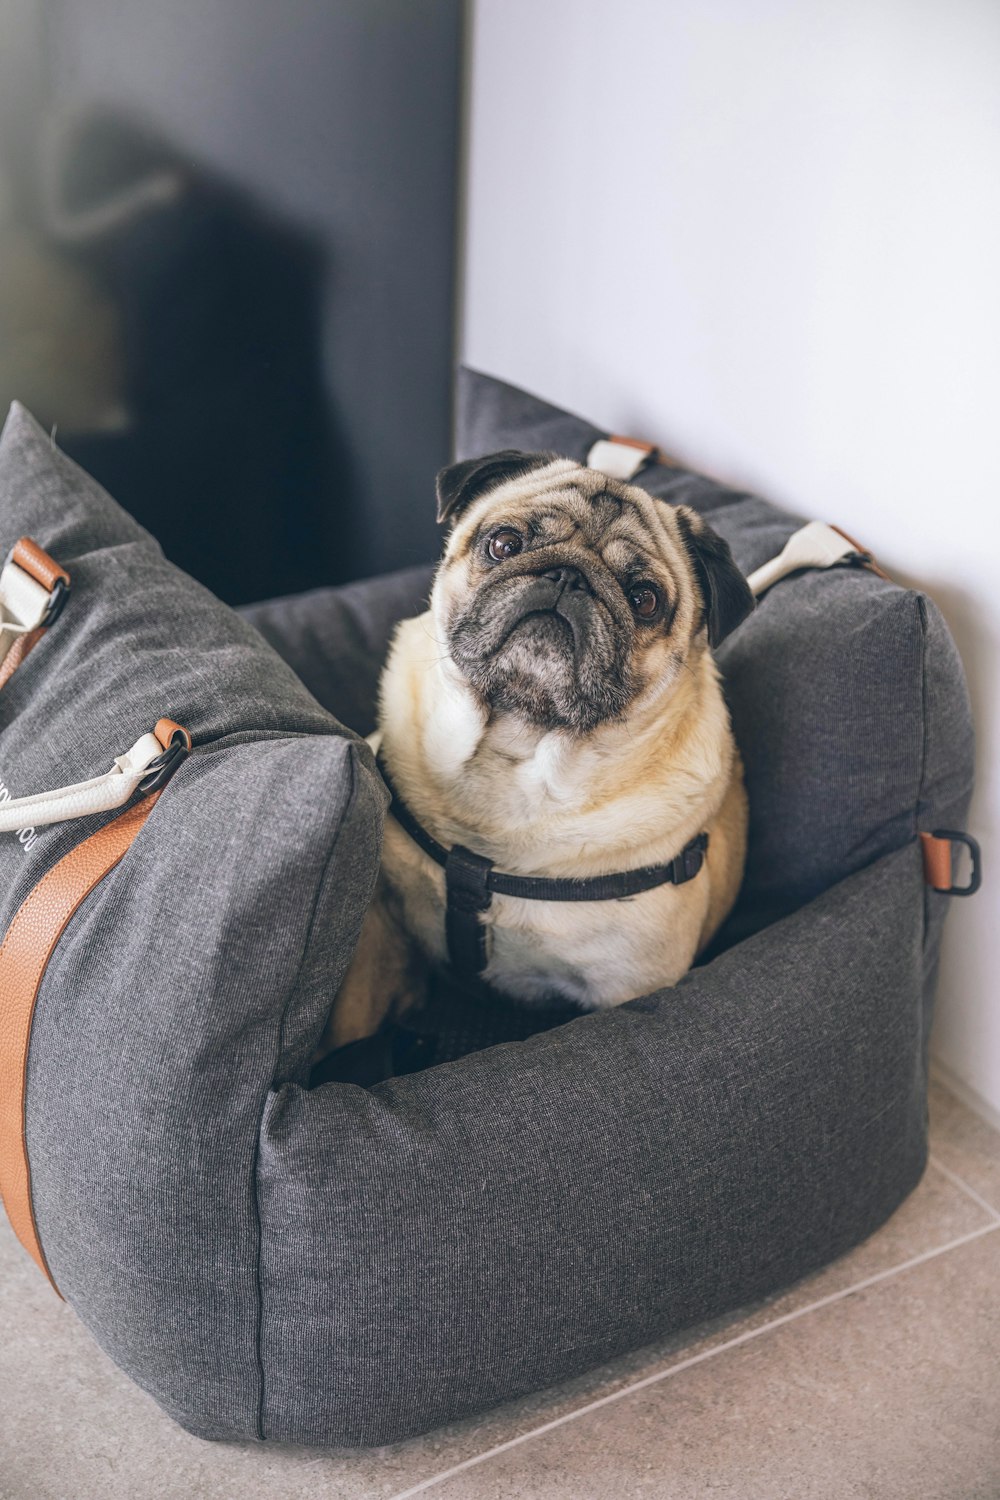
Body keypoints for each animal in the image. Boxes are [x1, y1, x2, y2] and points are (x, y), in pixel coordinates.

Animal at [325, 450, 755, 1050]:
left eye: (644, 600)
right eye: (504, 544)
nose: (568, 575)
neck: (514, 754)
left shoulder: (628, 984)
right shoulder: (380, 927)